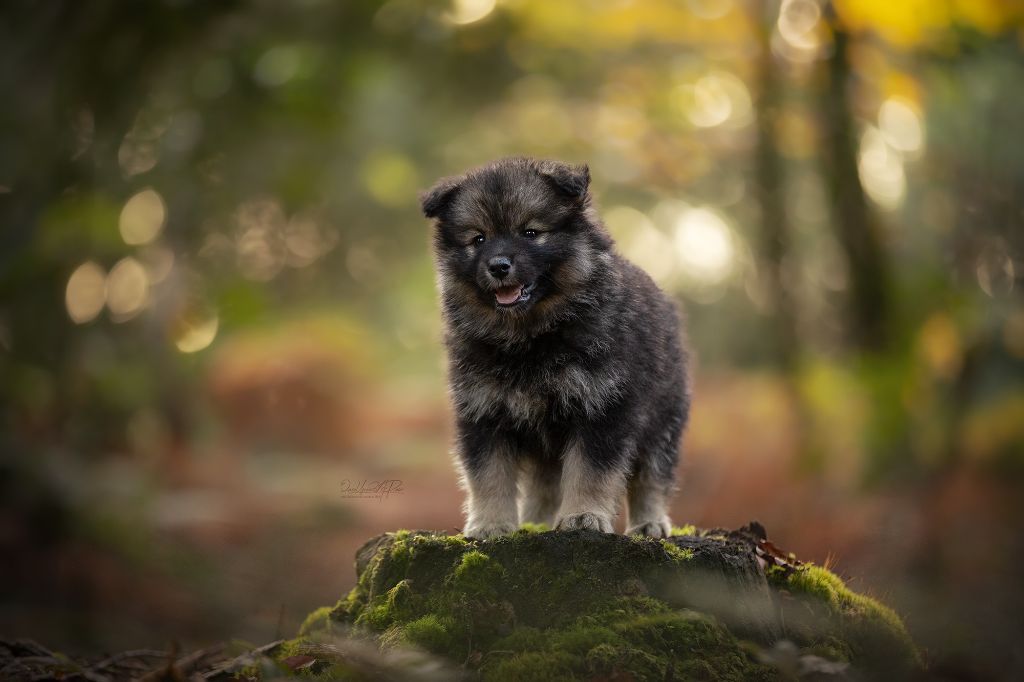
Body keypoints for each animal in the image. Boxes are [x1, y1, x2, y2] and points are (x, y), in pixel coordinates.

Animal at [419, 155, 692, 536]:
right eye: (478, 238)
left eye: (530, 233)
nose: (498, 266)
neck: (530, 336)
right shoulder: (482, 411)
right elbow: (488, 475)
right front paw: (490, 523)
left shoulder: (602, 407)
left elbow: (592, 471)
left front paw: (583, 516)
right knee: (544, 485)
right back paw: (535, 523)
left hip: (663, 419)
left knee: (651, 477)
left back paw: (649, 523)